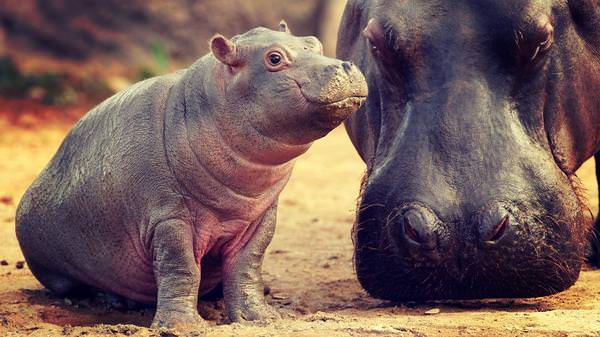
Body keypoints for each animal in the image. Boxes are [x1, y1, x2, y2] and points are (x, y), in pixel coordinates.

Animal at [16, 23, 366, 328]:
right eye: (274, 58)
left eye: (315, 43)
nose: (346, 66)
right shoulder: (169, 217)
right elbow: (181, 267)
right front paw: (181, 325)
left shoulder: (260, 217)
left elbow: (247, 266)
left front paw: (261, 318)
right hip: (56, 265)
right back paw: (112, 302)